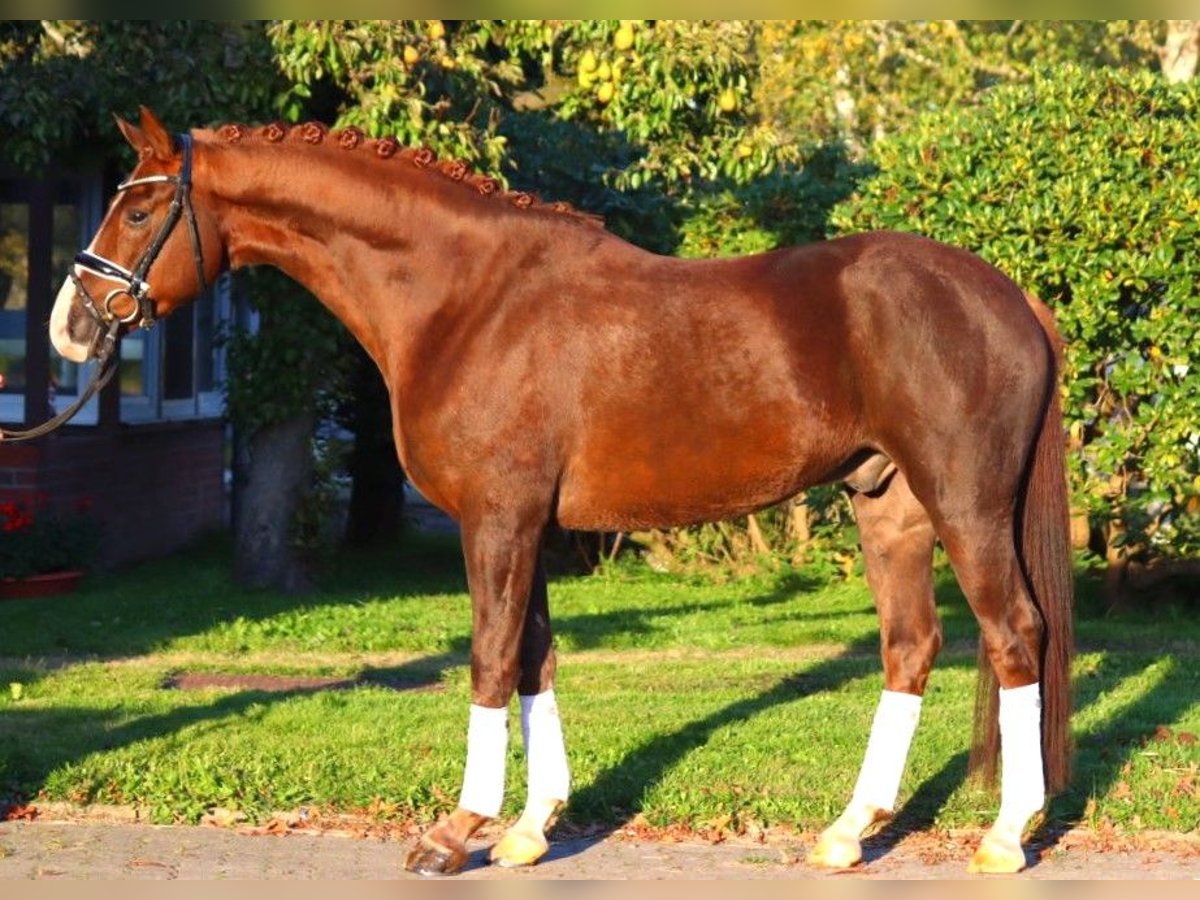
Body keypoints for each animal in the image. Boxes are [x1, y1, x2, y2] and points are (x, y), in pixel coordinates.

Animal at [51, 109, 1075, 878]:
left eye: (139, 212)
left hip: (964, 505)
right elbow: (536, 659)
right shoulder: (527, 524)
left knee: (1014, 633)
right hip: (889, 505)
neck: (465, 297)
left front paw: (455, 831)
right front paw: (528, 828)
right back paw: (849, 831)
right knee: (912, 646)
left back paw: (1002, 836)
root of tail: (1010, 296)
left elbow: (490, 659)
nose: (71, 326)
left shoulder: (495, 520)